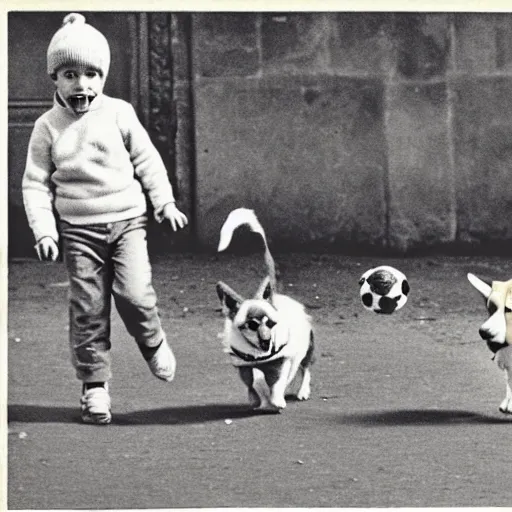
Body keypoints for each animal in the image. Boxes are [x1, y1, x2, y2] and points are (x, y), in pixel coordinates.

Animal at [215, 208, 314, 412]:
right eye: (251, 325)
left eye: (271, 324)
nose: (267, 340)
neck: (258, 355)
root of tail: (277, 296)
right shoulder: (244, 368)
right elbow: (252, 384)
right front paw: (257, 399)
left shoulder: (282, 363)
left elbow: (278, 383)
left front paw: (277, 400)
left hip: (307, 348)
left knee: (305, 368)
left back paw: (302, 391)